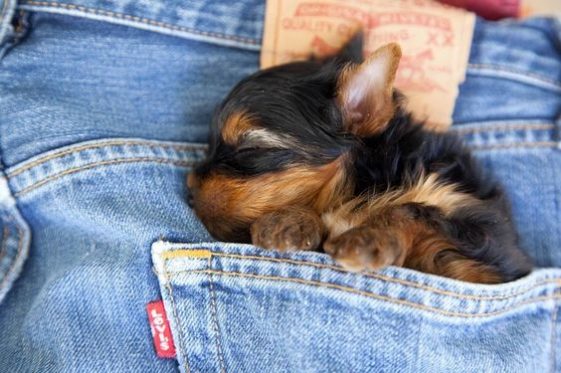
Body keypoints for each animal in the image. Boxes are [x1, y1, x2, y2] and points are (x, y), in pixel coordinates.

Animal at [186, 36, 532, 284]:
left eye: (250, 148)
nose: (188, 188)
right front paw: (290, 220)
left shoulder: (487, 248)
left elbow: (413, 211)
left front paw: (368, 237)